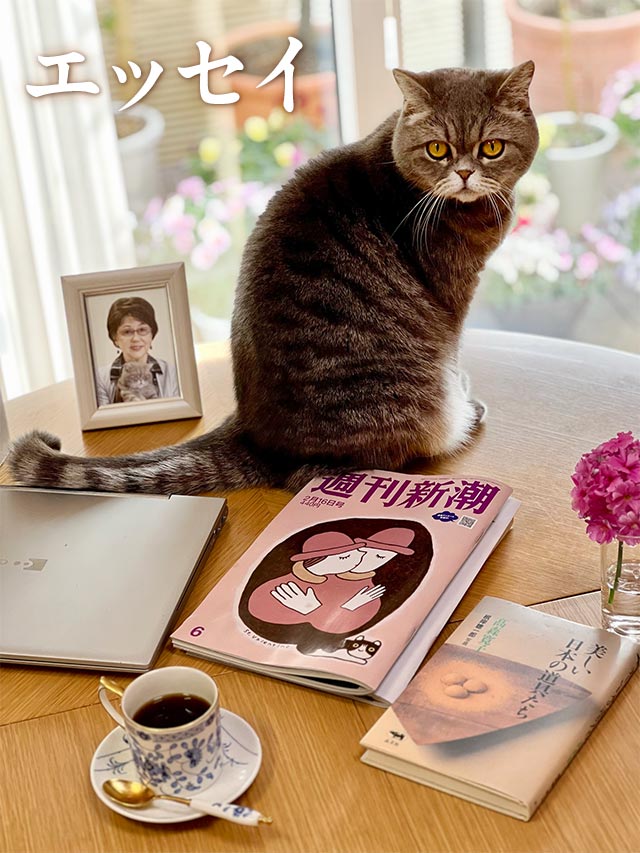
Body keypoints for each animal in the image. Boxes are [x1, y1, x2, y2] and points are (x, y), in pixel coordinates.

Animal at [7, 62, 538, 496]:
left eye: (491, 148)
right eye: (438, 149)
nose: (465, 174)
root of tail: (254, 435)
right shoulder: (452, 303)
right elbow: (453, 356)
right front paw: (465, 395)